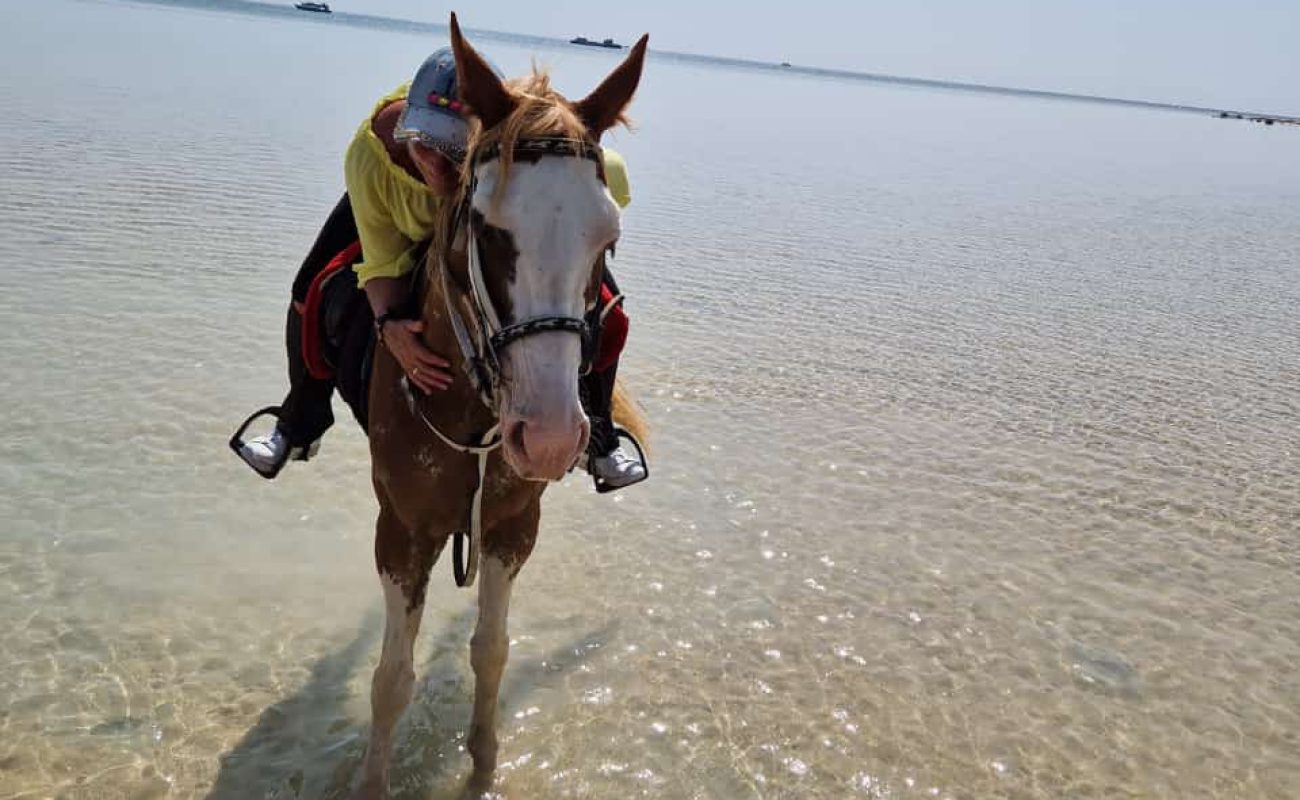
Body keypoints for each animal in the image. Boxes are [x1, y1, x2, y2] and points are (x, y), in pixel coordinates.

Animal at [351, 15, 650, 796]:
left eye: (609, 239)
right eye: (486, 231)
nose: (547, 438)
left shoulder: (514, 526)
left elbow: (491, 649)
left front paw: (483, 766)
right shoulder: (402, 531)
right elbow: (391, 679)